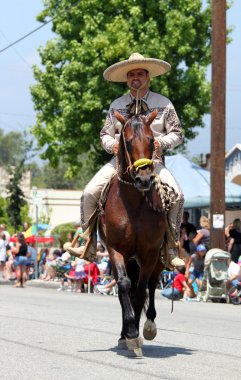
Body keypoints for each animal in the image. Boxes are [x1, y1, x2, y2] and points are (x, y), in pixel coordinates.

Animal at [99, 109, 167, 356]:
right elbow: (125, 287)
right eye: (127, 141)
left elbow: (140, 293)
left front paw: (136, 335)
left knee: (151, 286)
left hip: (157, 260)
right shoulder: (116, 250)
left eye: (151, 139)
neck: (135, 204)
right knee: (125, 289)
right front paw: (128, 332)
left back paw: (148, 325)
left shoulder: (150, 253)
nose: (144, 179)